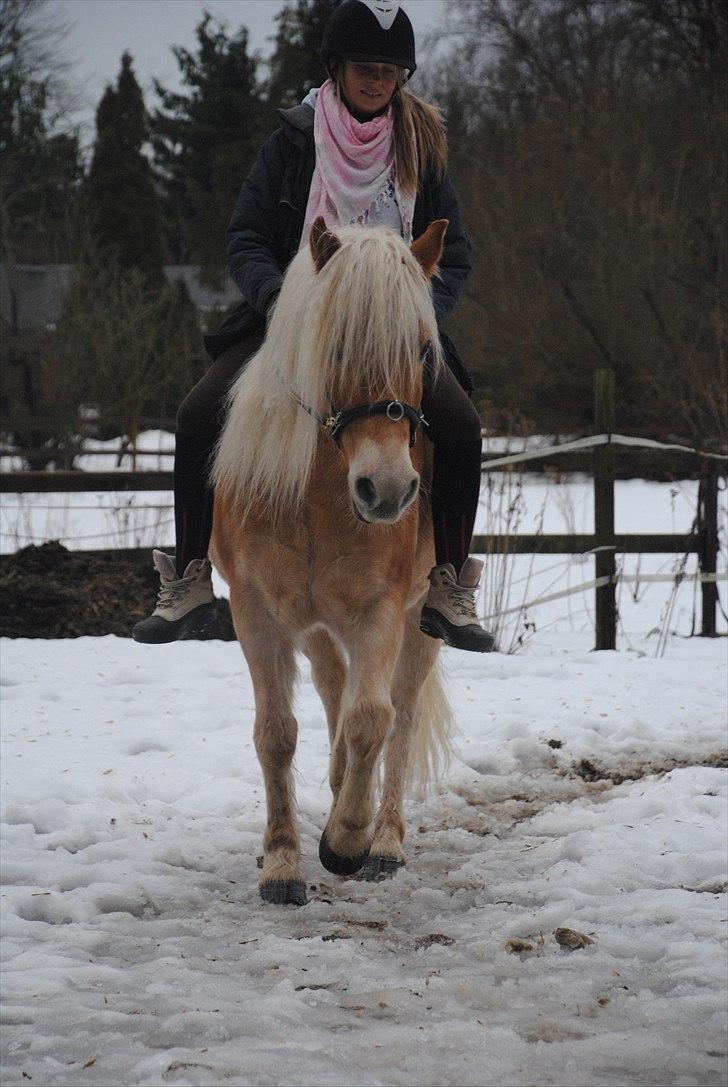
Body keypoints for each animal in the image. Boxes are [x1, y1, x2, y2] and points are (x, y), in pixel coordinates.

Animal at [208, 216, 454, 904]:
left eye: (421, 351)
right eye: (336, 348)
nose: (389, 490)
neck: (320, 492)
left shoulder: (381, 610)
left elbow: (375, 718)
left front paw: (345, 842)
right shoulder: (257, 613)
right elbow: (277, 733)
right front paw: (282, 864)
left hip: (421, 619)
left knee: (399, 714)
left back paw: (385, 840)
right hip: (315, 623)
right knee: (331, 684)